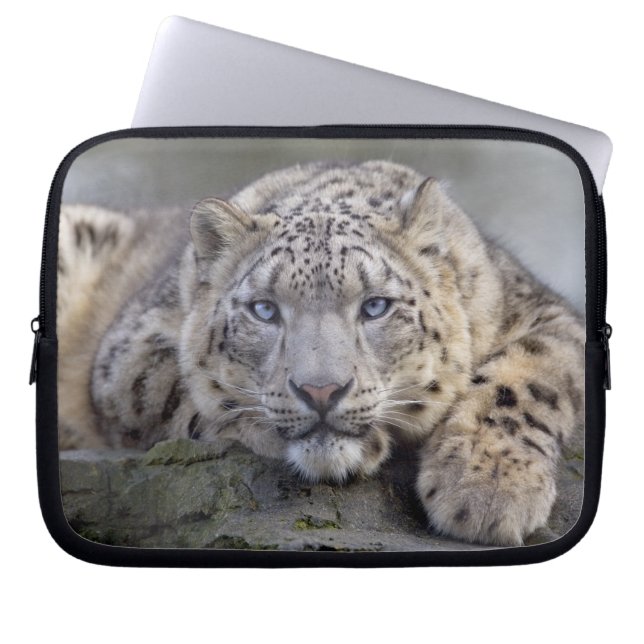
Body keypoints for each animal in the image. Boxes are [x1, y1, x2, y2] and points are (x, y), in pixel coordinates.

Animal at [57, 160, 585, 546]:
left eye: (375, 306)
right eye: (265, 310)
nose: (321, 391)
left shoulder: (548, 317)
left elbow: (526, 379)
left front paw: (488, 487)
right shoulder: (131, 352)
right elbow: (192, 394)